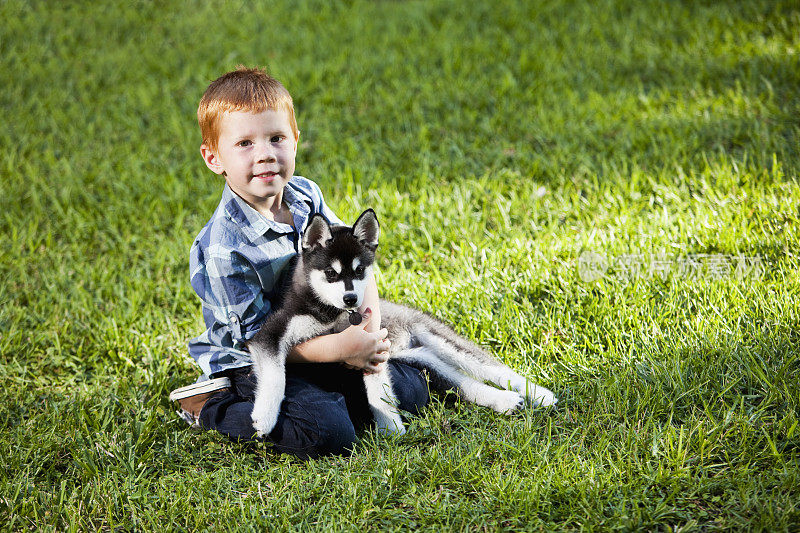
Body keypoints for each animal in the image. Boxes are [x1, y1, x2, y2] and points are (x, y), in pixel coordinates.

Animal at [250, 208, 556, 436]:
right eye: (330, 273)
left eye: (360, 271)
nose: (351, 299)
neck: (336, 315)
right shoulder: (271, 333)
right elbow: (276, 375)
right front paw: (265, 416)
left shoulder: (373, 342)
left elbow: (379, 389)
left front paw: (390, 428)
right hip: (422, 360)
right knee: (464, 382)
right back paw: (504, 400)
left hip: (437, 340)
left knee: (498, 371)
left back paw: (541, 395)